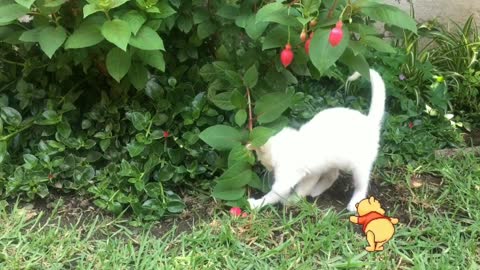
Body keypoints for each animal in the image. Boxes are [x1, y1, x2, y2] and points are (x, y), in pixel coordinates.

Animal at [248, 68, 386, 211]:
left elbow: (274, 194)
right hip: (332, 162)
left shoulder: (286, 178)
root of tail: (369, 121)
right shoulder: (311, 174)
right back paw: (316, 190)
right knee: (333, 176)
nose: (266, 169)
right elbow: (302, 189)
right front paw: (293, 200)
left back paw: (354, 202)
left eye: (260, 159)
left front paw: (256, 204)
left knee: (362, 185)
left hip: (360, 166)